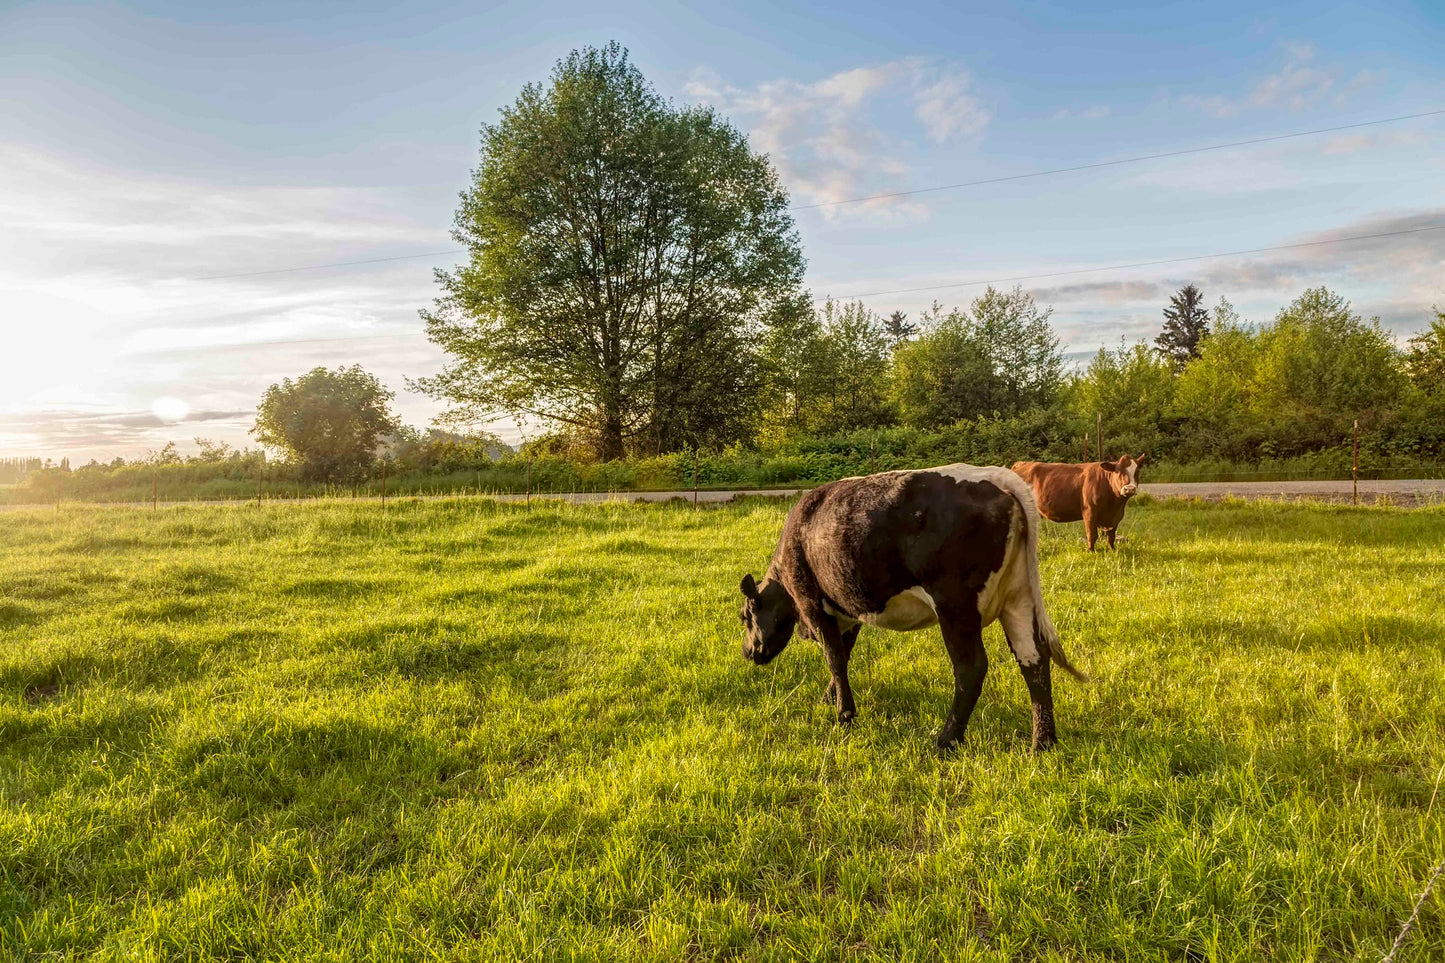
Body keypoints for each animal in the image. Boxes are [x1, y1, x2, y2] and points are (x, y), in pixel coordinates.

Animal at [737, 465, 1085, 752]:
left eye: (745, 616)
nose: (747, 652)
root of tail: (997, 477)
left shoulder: (811, 603)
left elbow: (834, 658)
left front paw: (844, 715)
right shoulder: (849, 611)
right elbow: (843, 655)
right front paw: (831, 696)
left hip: (956, 605)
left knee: (971, 667)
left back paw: (947, 741)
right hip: (1018, 598)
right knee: (1033, 660)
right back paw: (1042, 743)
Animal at [1011, 455, 1147, 551]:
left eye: (1137, 472)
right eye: (1118, 471)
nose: (1129, 489)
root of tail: (1020, 464)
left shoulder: (1116, 516)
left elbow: (1111, 536)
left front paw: (1112, 550)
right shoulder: (1089, 512)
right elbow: (1092, 535)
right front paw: (1091, 552)